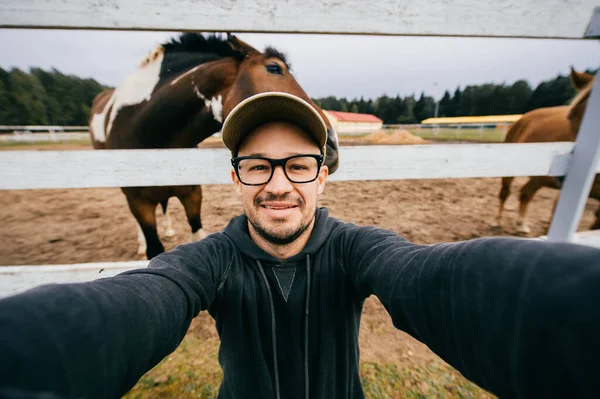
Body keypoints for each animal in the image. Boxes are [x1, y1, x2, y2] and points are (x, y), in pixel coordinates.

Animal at [496, 66, 596, 234]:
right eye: (571, 115)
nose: (562, 176)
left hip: (538, 178)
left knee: (525, 193)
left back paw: (522, 225)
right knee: (507, 192)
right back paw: (499, 222)